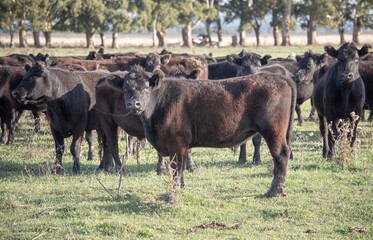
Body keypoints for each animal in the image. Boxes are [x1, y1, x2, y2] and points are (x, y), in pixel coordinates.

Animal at [106, 65, 294, 197]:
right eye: (125, 88)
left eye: (146, 87)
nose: (134, 104)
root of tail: (279, 77)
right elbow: (178, 168)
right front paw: (181, 187)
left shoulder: (177, 143)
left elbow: (177, 167)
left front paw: (175, 189)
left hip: (273, 131)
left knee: (280, 155)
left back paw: (275, 191)